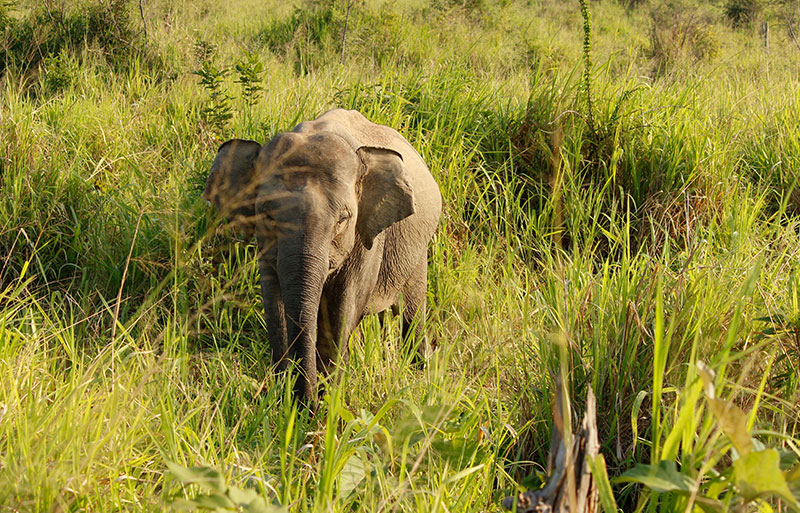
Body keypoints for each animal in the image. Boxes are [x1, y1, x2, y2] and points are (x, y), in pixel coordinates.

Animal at [204, 109, 442, 404]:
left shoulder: (367, 237)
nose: (306, 404)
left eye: (343, 219)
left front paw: (327, 399)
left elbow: (344, 305)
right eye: (267, 215)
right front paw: (284, 396)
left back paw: (420, 372)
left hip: (418, 250)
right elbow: (274, 303)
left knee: (412, 312)